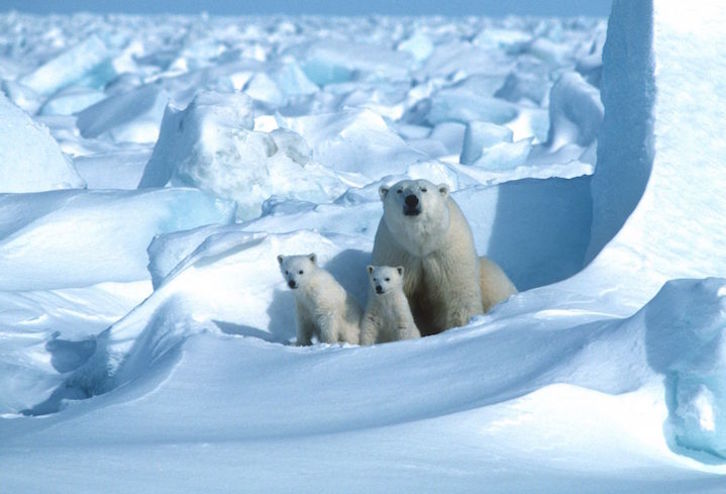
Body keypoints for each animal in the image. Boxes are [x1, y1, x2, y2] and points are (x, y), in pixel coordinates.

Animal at [371, 179, 517, 336]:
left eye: (423, 189)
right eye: (399, 190)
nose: (411, 200)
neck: (420, 243)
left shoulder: (447, 251)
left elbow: (457, 291)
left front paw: (461, 326)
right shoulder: (397, 252)